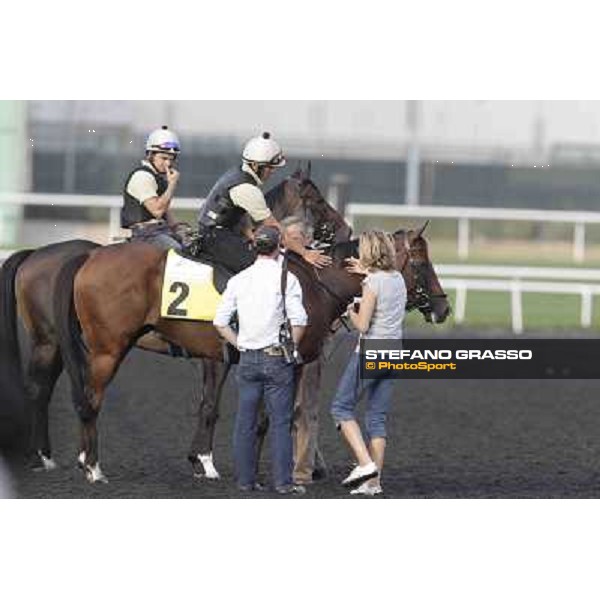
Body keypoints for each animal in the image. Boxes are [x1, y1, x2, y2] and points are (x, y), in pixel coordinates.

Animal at [0, 163, 352, 468]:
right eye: (317, 199)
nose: (346, 229)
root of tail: (39, 254)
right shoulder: (221, 355)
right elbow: (214, 406)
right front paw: (206, 461)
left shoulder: (216, 356)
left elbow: (211, 404)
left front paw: (201, 459)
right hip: (62, 342)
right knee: (49, 391)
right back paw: (56, 458)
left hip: (57, 342)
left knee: (42, 390)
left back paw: (45, 456)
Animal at [51, 223, 446, 480]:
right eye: (421, 263)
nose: (443, 308)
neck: (316, 284)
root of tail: (91, 255)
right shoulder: (289, 362)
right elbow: (271, 417)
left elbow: (229, 411)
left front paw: (217, 465)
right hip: (108, 349)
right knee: (90, 401)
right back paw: (93, 468)